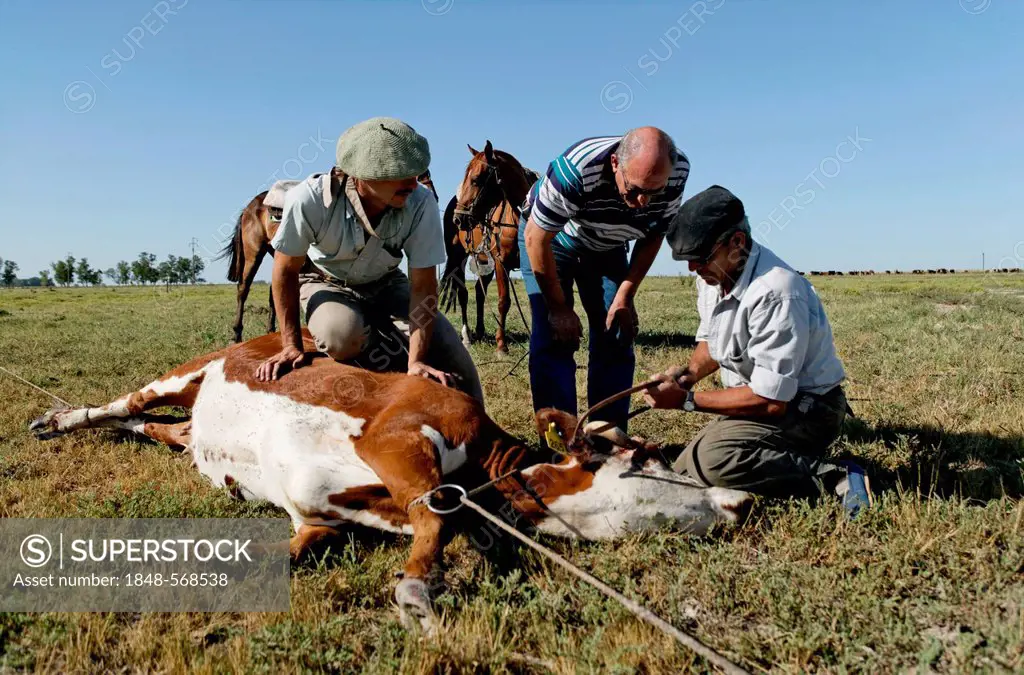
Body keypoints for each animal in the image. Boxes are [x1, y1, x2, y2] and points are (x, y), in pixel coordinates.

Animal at [32, 331, 753, 635]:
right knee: (126, 402)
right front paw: (416, 593)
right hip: (189, 370)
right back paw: (56, 418)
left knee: (158, 428)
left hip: (191, 431)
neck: (482, 462)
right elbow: (436, 513)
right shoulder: (395, 436)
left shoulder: (322, 517)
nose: (740, 501)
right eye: (648, 457)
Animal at [438, 142, 540, 354]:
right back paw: (467, 336)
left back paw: (480, 331)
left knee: (479, 290)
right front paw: (501, 345)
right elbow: (504, 301)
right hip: (458, 257)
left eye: (476, 179)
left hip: (484, 260)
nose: (458, 219)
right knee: (463, 293)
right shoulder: (501, 263)